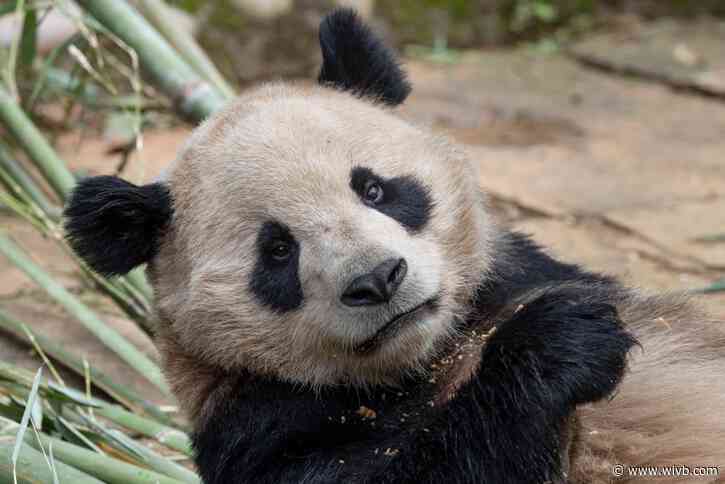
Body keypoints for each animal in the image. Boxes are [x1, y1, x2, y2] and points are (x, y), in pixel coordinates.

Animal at [63, 8, 725, 484]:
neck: (424, 359)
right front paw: (558, 341)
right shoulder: (258, 426)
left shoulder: (523, 276)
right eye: (277, 251)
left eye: (375, 189)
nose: (378, 279)